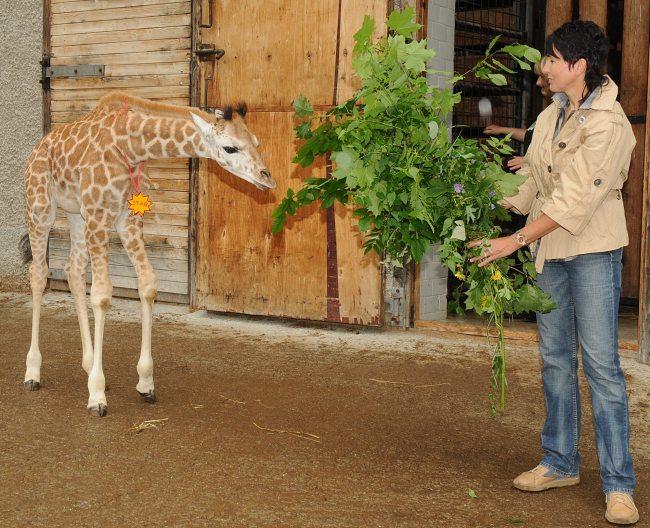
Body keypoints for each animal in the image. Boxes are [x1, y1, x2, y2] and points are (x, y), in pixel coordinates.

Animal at [20, 91, 274, 416]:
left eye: (256, 141)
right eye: (230, 147)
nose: (267, 179)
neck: (131, 147)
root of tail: (36, 149)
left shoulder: (127, 219)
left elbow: (148, 283)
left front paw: (145, 383)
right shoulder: (100, 216)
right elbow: (102, 295)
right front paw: (97, 395)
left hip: (77, 214)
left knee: (73, 271)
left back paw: (87, 365)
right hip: (41, 208)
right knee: (39, 274)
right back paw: (33, 373)